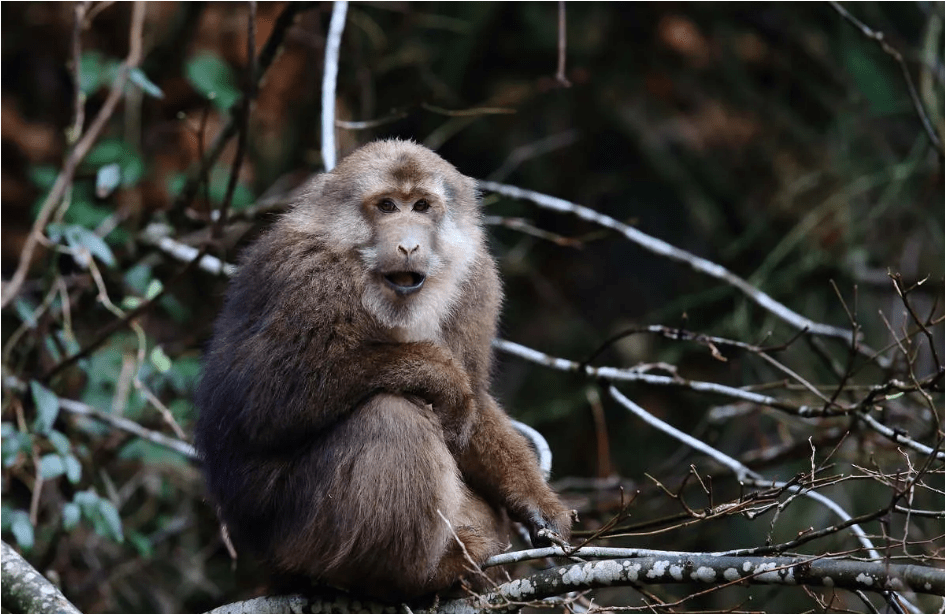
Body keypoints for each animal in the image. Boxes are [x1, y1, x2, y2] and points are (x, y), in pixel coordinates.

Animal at [195, 138, 572, 600]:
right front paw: (437, 374)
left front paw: (538, 505)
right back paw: (408, 578)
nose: (409, 245)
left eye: (422, 206)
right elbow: (263, 400)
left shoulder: (477, 279)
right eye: (388, 206)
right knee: (390, 416)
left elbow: (476, 405)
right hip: (290, 533)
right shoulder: (310, 277)